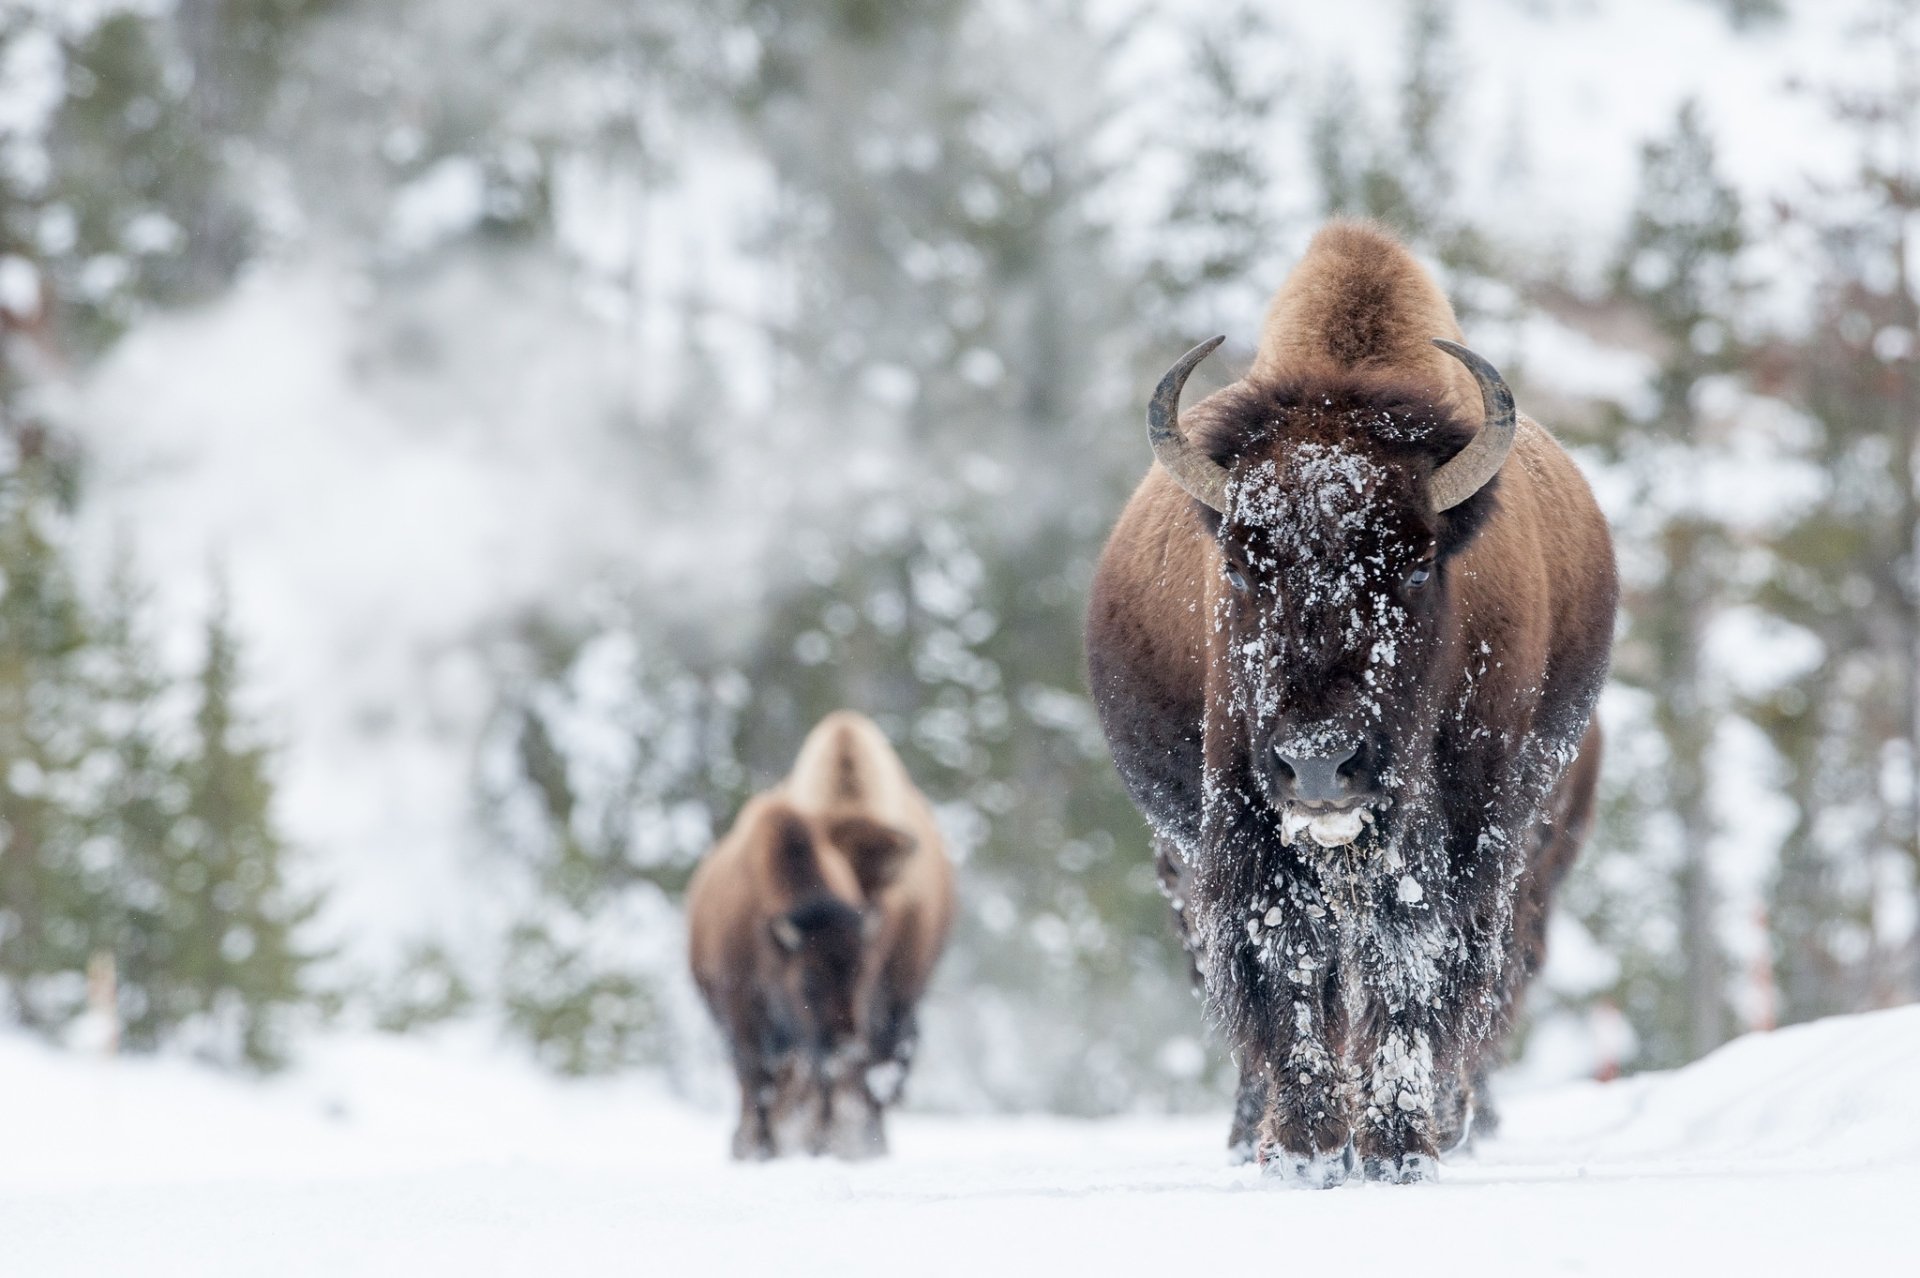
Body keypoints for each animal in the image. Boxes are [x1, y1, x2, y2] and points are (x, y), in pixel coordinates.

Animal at [1086, 221, 1616, 1185]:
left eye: (1413, 563)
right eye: (1243, 566)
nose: (1320, 764)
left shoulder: (1461, 838)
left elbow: (1413, 969)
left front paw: (1399, 1146)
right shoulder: (1245, 832)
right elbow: (1289, 963)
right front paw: (1303, 1148)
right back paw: (1254, 1135)